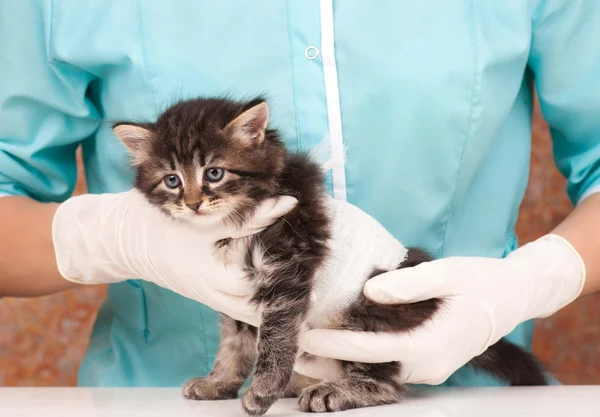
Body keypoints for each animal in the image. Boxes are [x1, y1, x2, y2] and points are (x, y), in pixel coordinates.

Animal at [113, 96, 548, 412]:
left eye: (214, 173)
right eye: (172, 180)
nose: (192, 204)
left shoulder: (288, 267)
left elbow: (274, 339)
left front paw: (263, 390)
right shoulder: (230, 291)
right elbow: (234, 342)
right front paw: (219, 383)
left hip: (370, 310)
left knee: (388, 381)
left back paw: (334, 390)